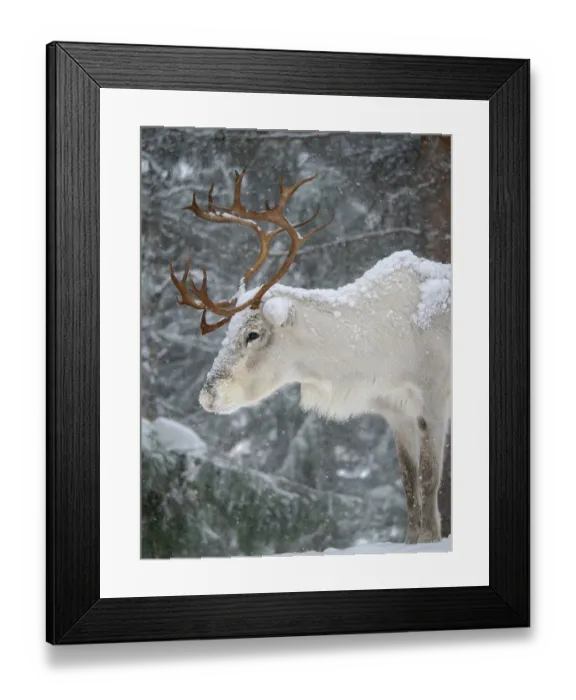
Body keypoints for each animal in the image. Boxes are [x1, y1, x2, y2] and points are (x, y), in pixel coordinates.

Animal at [169, 169, 452, 545]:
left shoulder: (434, 398)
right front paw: (412, 542)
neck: (382, 349)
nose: (207, 394)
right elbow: (409, 485)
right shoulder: (397, 413)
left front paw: (431, 540)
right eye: (228, 331)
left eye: (253, 333)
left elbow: (429, 481)